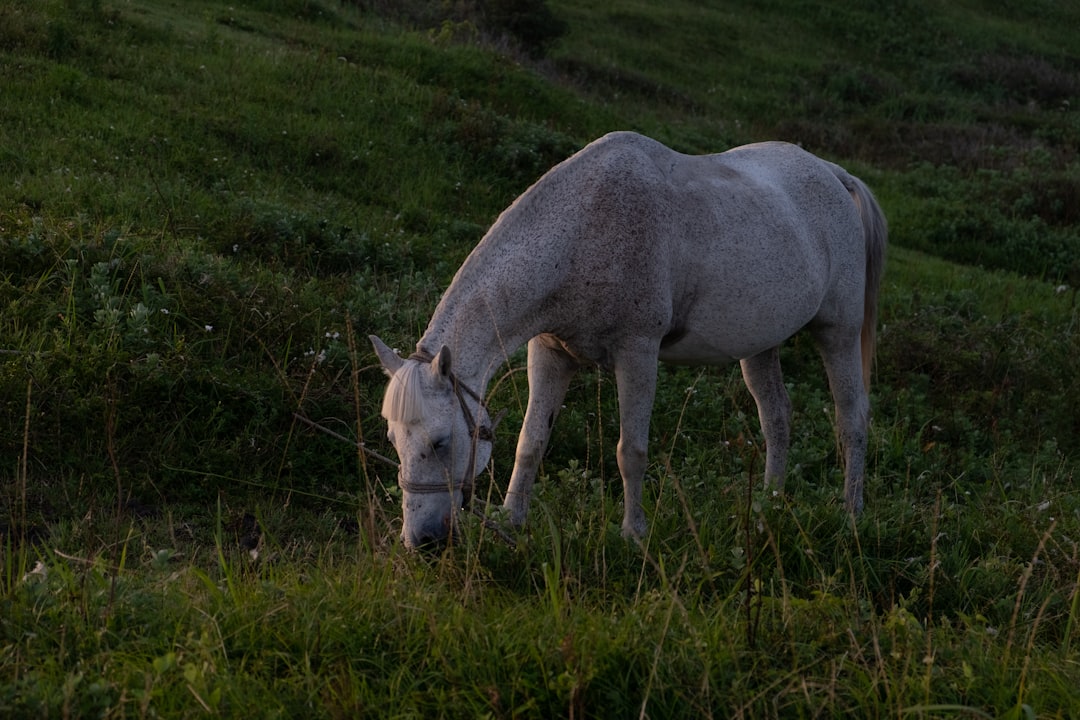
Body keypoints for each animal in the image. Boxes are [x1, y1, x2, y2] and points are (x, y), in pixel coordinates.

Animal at [371, 131, 885, 546]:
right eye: (393, 439)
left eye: (440, 442)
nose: (421, 540)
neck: (583, 231)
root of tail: (835, 175)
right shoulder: (550, 352)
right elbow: (530, 440)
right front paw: (512, 519)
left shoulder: (637, 353)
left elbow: (630, 451)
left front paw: (633, 533)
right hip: (759, 344)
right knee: (777, 417)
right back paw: (768, 506)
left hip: (838, 333)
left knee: (851, 419)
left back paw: (852, 513)